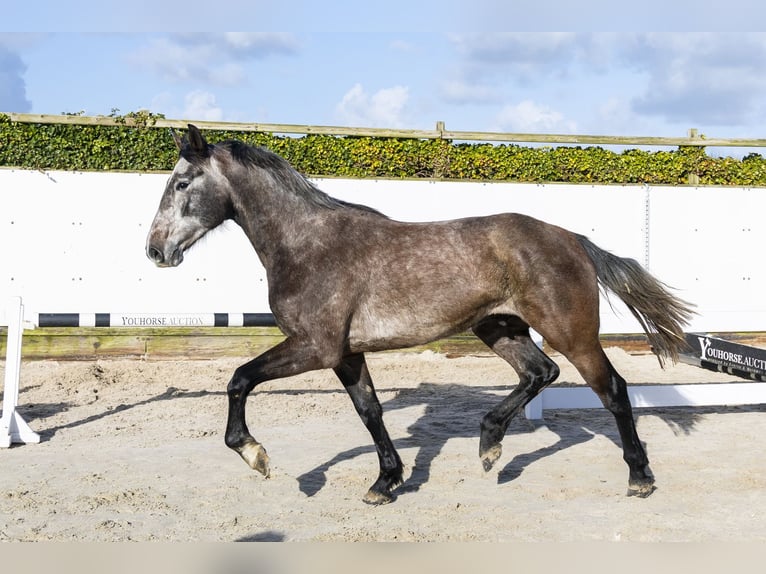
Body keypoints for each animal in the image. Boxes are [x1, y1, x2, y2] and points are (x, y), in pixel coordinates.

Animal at [146, 124, 694, 505]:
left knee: (613, 390)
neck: (306, 245)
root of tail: (572, 239)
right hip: (498, 327)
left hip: (571, 333)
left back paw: (639, 478)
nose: (155, 251)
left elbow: (239, 378)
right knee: (541, 373)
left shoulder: (315, 347)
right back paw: (489, 444)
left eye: (181, 183)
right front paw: (385, 482)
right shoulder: (345, 354)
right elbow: (369, 413)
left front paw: (254, 454)